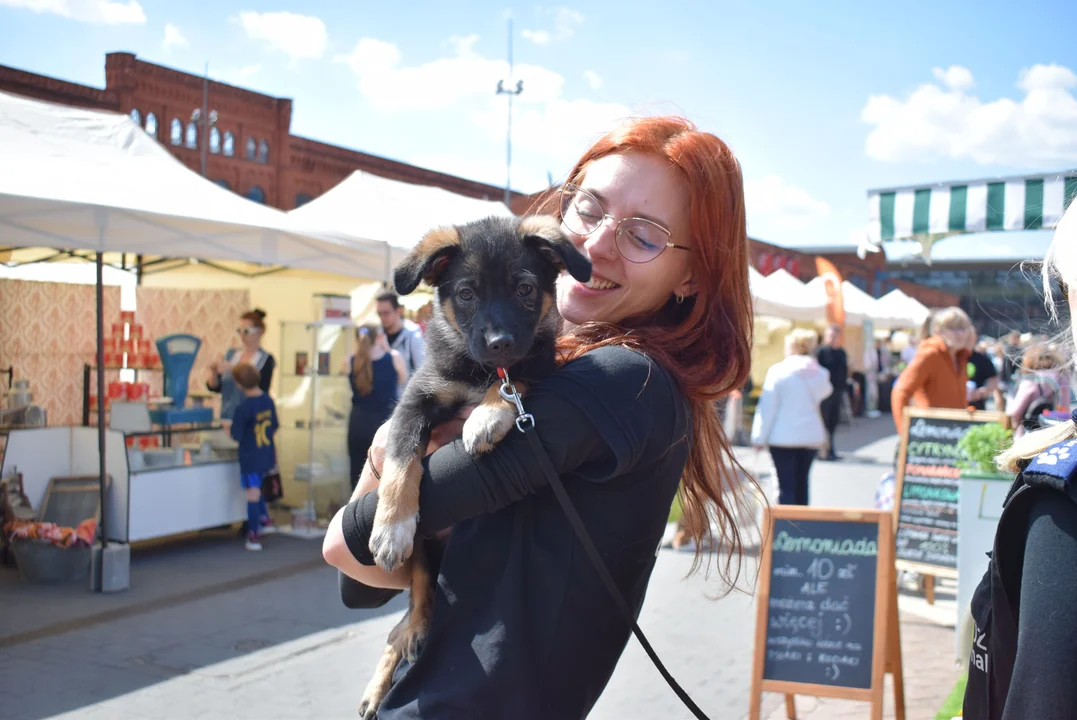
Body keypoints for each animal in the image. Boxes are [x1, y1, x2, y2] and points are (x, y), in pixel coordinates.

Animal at [357, 212, 594, 714]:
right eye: (466, 294)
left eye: (524, 289)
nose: (500, 343)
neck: (479, 372)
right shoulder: (414, 401)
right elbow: (401, 462)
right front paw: (390, 527)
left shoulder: (539, 367)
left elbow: (515, 379)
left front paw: (487, 415)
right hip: (425, 551)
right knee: (413, 605)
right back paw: (397, 656)